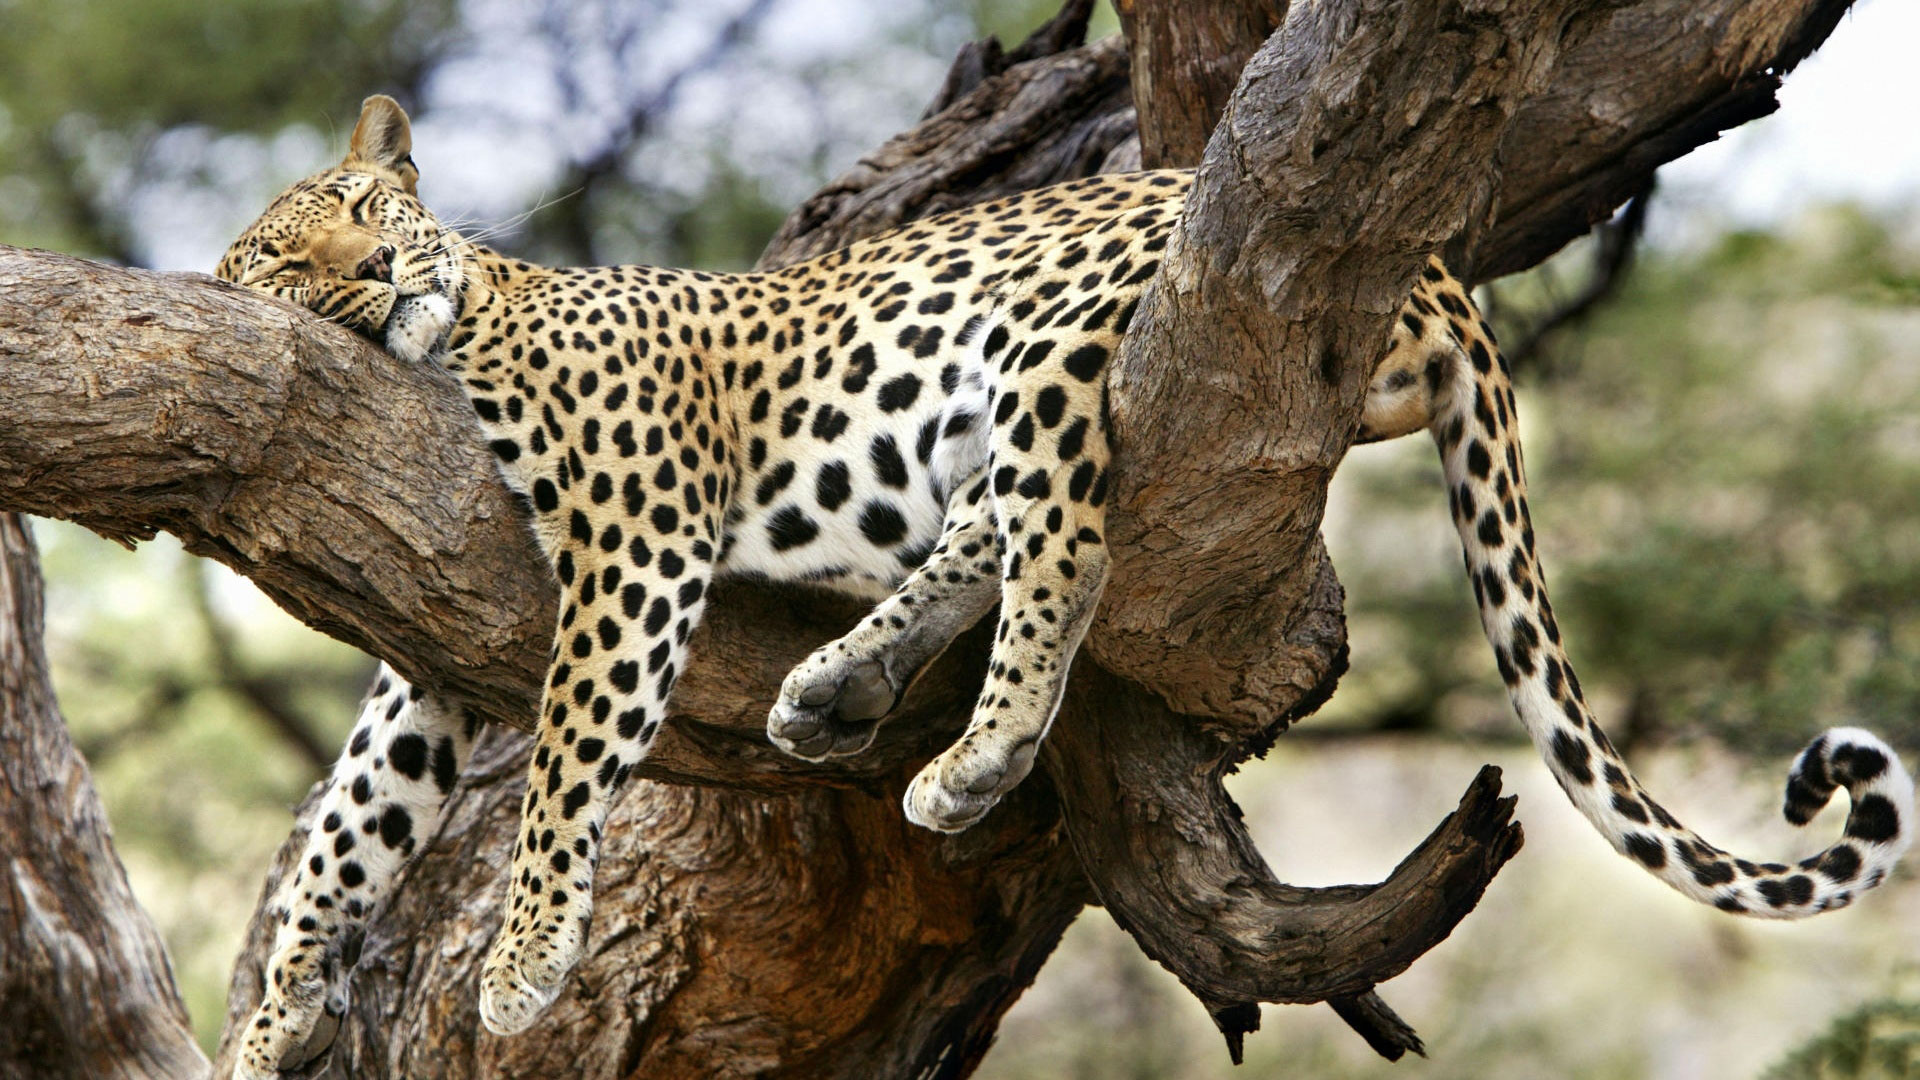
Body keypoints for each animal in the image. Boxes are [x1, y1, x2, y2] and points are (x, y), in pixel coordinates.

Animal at [216, 95, 1912, 1078]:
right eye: (286, 264)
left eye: (364, 216)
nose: (377, 277)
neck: (467, 327)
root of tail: (1438, 267)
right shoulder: (430, 646)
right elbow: (351, 818)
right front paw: (270, 1013)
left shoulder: (634, 544)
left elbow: (569, 759)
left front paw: (518, 965)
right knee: (991, 530)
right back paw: (841, 687)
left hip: (1043, 342)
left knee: (1067, 545)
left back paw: (969, 760)